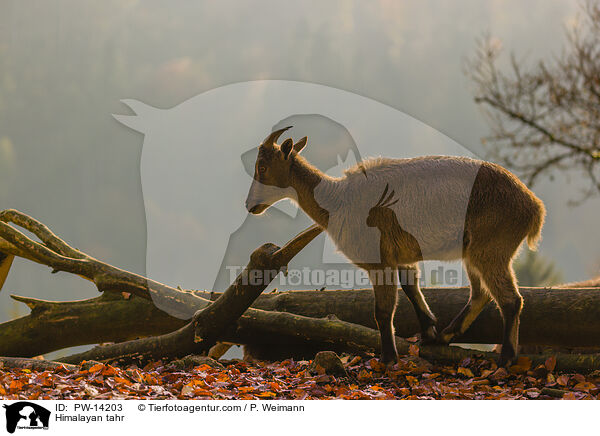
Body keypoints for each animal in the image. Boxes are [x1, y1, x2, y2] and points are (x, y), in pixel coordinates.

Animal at [246, 125, 548, 364]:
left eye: (262, 167)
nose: (250, 205)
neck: (339, 200)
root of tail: (534, 207)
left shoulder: (380, 262)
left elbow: (382, 311)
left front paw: (388, 357)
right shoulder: (402, 257)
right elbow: (411, 287)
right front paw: (429, 331)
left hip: (491, 250)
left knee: (510, 299)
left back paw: (506, 358)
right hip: (474, 253)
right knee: (481, 294)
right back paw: (445, 336)